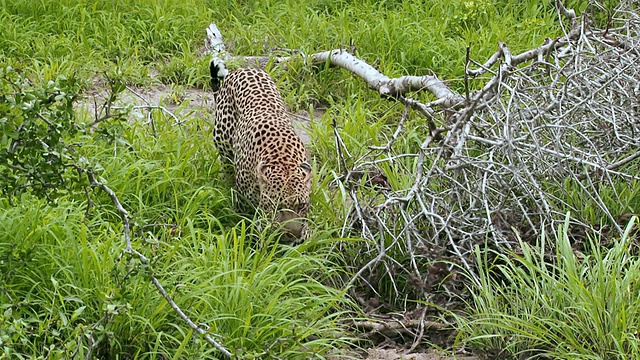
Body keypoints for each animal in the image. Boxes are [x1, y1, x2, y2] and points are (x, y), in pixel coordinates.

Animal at [209, 63, 312, 240]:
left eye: (301, 206)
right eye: (277, 207)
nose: (292, 235)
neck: (283, 159)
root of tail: (240, 69)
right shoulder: (244, 205)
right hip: (224, 146)